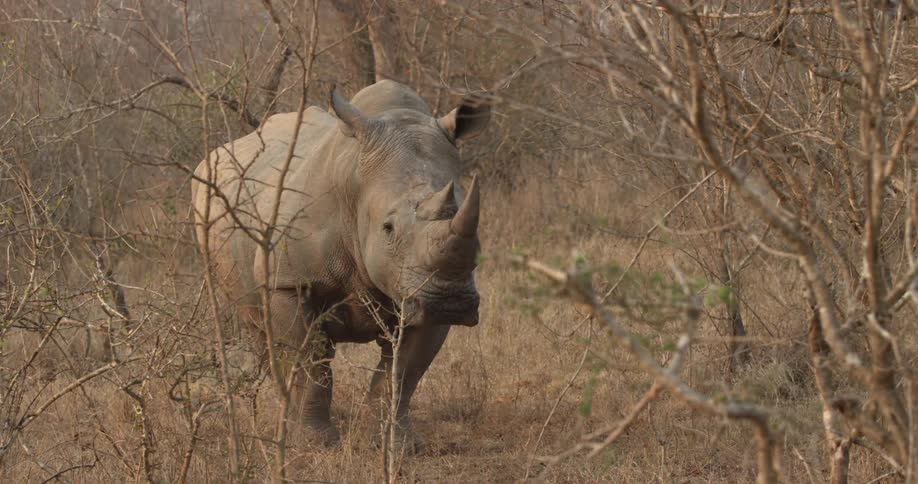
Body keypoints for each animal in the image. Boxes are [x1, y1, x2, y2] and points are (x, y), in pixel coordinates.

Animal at [191, 80, 490, 451]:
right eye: (388, 228)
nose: (452, 302)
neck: (356, 185)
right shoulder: (288, 281)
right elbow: (311, 362)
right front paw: (314, 443)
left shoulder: (419, 293)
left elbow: (404, 372)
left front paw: (399, 446)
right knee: (261, 330)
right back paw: (286, 423)